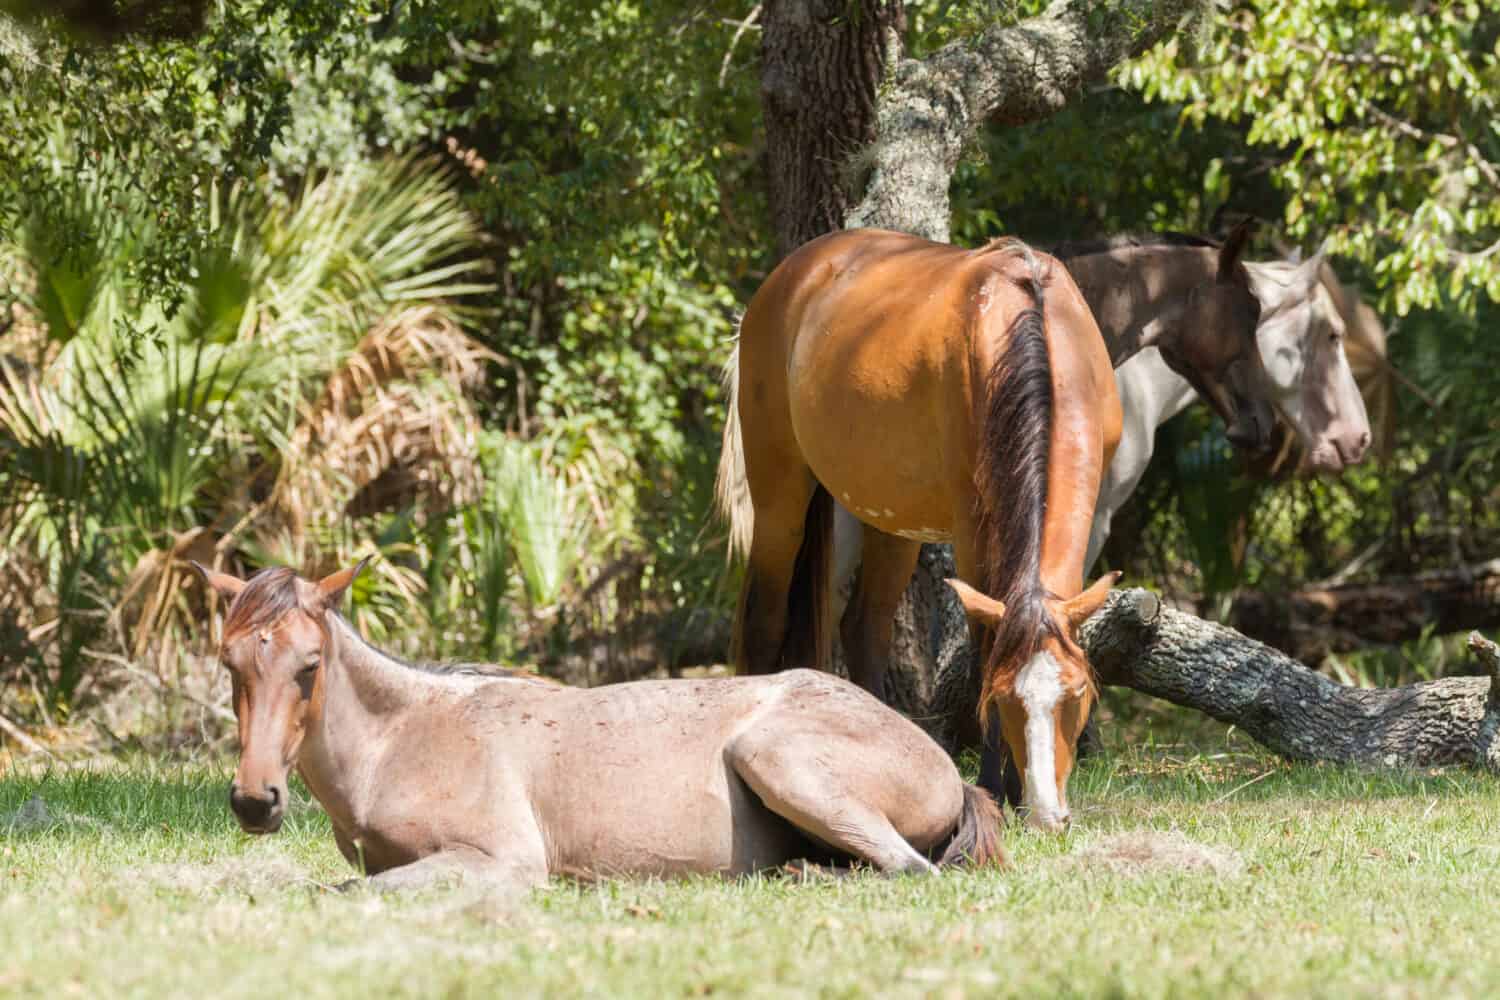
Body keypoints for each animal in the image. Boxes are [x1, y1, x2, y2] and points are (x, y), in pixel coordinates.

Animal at [717, 230, 1128, 833]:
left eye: (1077, 695)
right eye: (1003, 698)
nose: (1046, 815)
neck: (1035, 329)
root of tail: (791, 274)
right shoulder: (972, 524)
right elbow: (984, 643)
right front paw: (996, 788)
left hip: (887, 518)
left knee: (863, 627)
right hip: (781, 502)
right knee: (765, 622)